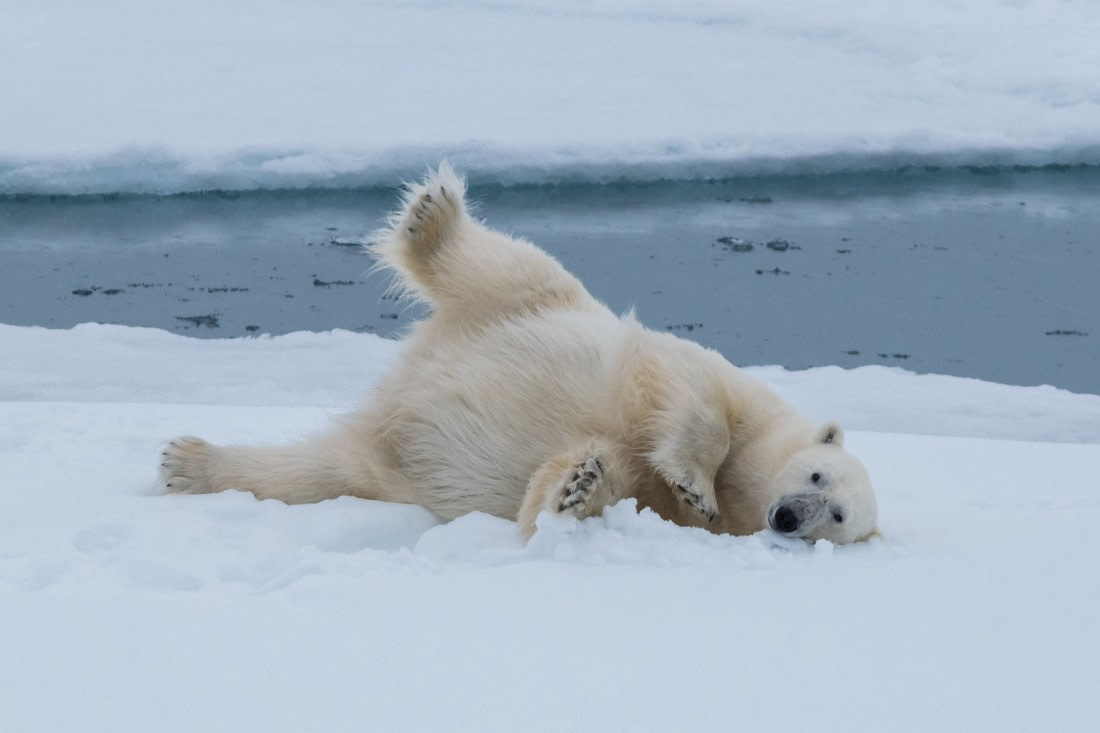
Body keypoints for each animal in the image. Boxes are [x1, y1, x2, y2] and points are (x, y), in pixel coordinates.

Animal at [160, 163, 879, 544]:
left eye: (838, 517)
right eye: (818, 475)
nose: (788, 516)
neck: (745, 484)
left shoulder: (667, 511)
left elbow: (593, 481)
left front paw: (577, 486)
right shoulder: (714, 378)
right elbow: (688, 400)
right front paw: (694, 481)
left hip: (377, 469)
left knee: (307, 473)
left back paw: (188, 463)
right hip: (532, 303)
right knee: (506, 264)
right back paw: (433, 217)